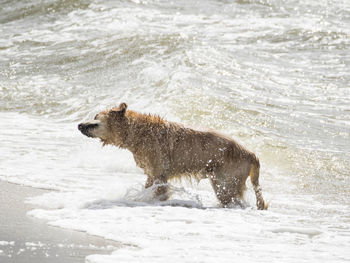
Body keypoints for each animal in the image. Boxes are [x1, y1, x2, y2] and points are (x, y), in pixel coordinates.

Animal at [78, 103, 266, 210]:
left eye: (95, 120)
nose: (80, 124)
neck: (136, 134)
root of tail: (252, 154)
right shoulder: (151, 172)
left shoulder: (159, 171)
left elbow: (159, 189)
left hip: (225, 178)